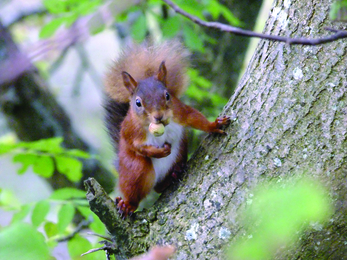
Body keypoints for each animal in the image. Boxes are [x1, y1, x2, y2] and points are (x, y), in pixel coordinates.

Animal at [104, 40, 230, 216]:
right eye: (138, 103)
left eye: (167, 95)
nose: (158, 116)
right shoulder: (130, 130)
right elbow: (136, 146)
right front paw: (159, 151)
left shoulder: (180, 111)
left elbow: (195, 119)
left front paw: (214, 125)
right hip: (135, 170)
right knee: (139, 189)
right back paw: (127, 204)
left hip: (180, 151)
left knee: (160, 186)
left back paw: (174, 174)